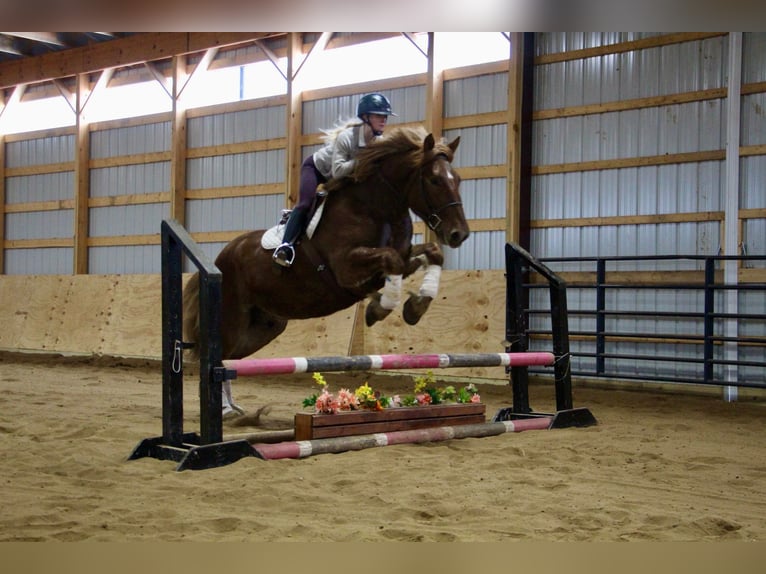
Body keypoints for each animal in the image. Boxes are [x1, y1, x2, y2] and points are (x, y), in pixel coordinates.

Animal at [183, 126, 472, 416]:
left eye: (458, 179)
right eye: (434, 180)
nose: (459, 234)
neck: (374, 207)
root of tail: (219, 258)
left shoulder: (397, 258)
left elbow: (429, 254)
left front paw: (416, 305)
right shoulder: (347, 270)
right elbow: (392, 261)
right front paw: (380, 308)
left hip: (265, 327)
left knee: (229, 360)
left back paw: (232, 408)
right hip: (233, 319)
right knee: (217, 357)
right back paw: (225, 410)